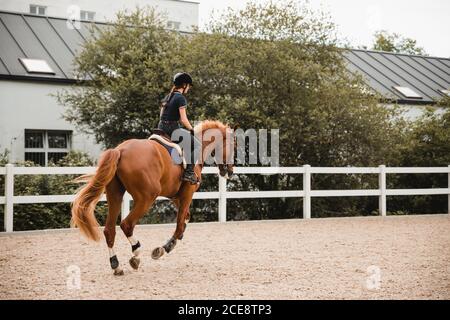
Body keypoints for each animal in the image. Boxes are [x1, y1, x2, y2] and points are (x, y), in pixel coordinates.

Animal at [70, 120, 236, 276]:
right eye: (233, 146)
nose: (230, 171)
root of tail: (120, 150)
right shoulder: (187, 193)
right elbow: (179, 224)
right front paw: (164, 248)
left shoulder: (176, 196)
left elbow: (185, 218)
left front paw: (174, 241)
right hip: (146, 198)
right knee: (126, 224)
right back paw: (136, 254)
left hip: (114, 195)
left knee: (109, 230)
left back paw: (116, 265)